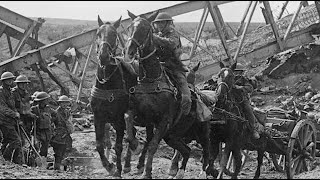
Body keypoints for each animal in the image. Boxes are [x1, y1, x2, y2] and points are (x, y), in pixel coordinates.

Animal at [90, 15, 141, 177]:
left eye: (114, 34)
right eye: (98, 33)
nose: (104, 55)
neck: (106, 83)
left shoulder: (118, 119)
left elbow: (118, 146)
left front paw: (117, 169)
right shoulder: (98, 117)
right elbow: (99, 145)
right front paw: (109, 166)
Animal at [122, 10, 210, 179]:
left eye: (145, 28)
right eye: (129, 27)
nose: (129, 52)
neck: (151, 78)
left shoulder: (164, 121)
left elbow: (152, 145)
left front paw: (147, 173)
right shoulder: (138, 113)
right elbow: (129, 126)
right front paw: (134, 149)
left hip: (194, 133)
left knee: (202, 150)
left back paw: (194, 172)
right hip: (172, 135)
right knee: (185, 150)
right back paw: (175, 171)